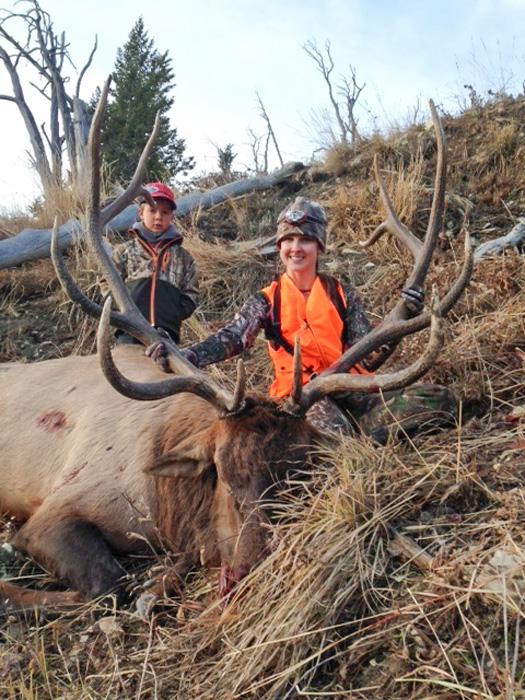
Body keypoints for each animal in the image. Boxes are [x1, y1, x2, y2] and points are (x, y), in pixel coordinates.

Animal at [0, 80, 472, 610]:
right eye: (222, 473)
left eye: (300, 474)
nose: (249, 568)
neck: (164, 505)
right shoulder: (58, 506)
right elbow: (106, 584)